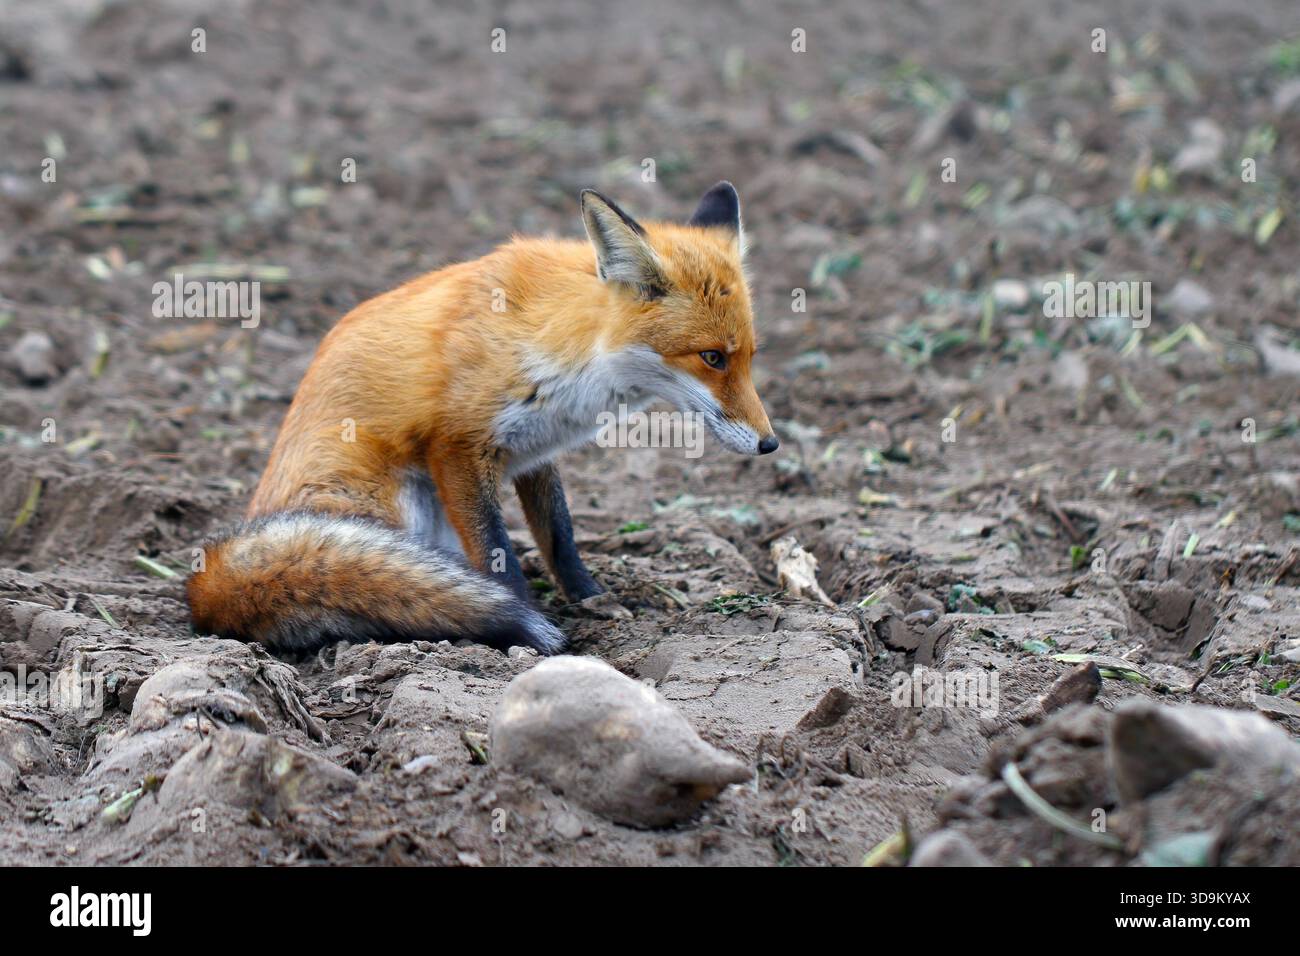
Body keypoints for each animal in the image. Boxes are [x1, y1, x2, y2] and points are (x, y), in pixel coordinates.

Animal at [186, 181, 778, 655]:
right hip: (396, 501)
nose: (770, 445)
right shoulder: (456, 446)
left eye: (751, 356)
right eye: (712, 358)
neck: (568, 354)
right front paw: (530, 624)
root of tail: (213, 574)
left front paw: (592, 598)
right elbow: (498, 552)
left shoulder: (536, 450)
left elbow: (559, 535)